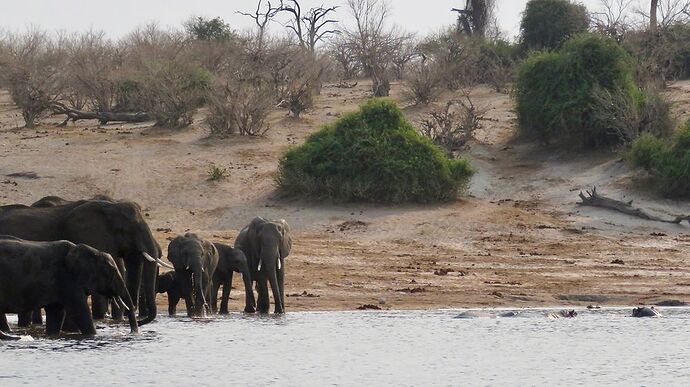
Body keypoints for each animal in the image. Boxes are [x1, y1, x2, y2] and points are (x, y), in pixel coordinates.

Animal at [0, 236, 138, 340]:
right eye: (112, 271)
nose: (133, 333)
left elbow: (56, 313)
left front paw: (52, 336)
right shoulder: (67, 279)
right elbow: (80, 311)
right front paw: (93, 336)